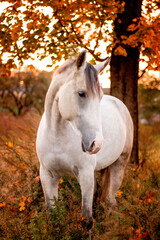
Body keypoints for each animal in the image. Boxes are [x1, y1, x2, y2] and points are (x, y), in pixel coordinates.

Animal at [36, 50, 132, 229]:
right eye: (82, 93)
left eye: (100, 96)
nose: (97, 144)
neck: (57, 136)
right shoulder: (47, 175)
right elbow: (52, 216)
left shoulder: (85, 174)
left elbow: (87, 219)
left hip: (119, 165)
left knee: (110, 201)